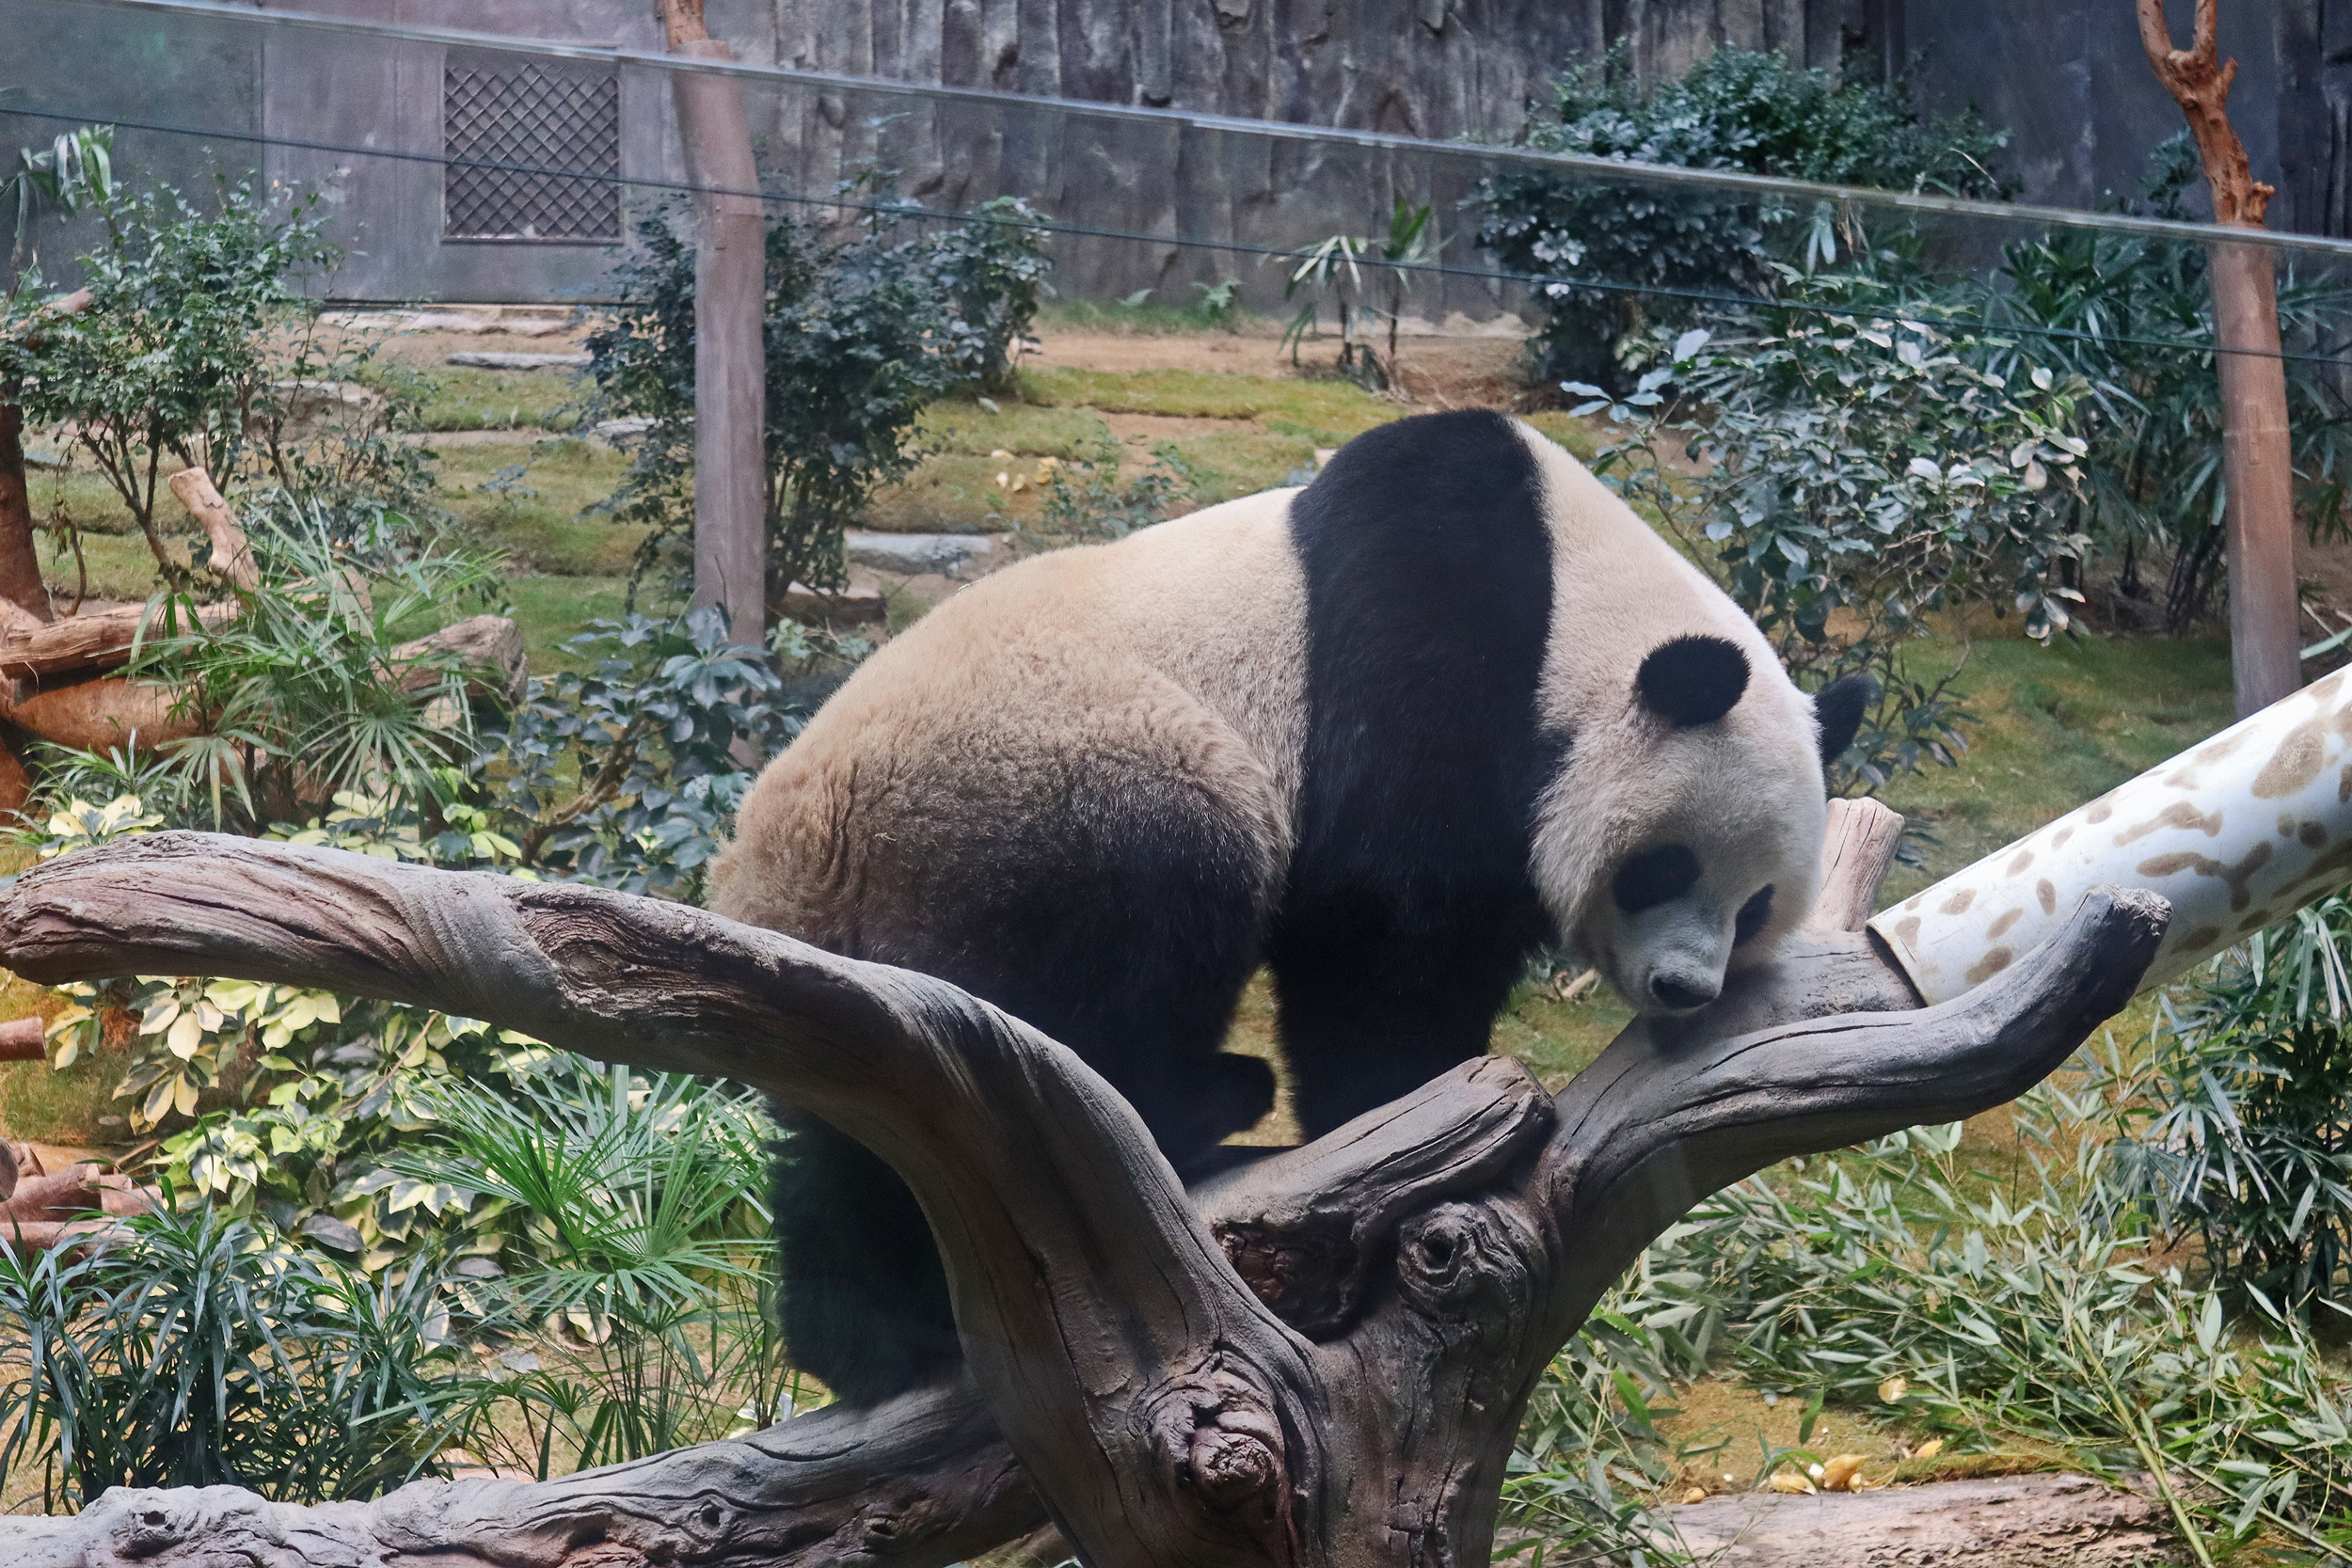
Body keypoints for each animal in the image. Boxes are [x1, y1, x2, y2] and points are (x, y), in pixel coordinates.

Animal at [710, 408, 1869, 1404]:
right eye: (1664, 868)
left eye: (1757, 904)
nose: (1684, 985)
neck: (1578, 608)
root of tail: (789, 869)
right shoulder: (1437, 641)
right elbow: (1382, 922)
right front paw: (1413, 1112)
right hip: (1042, 792)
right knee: (1122, 947)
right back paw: (1197, 1103)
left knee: (876, 1118)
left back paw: (864, 1334)